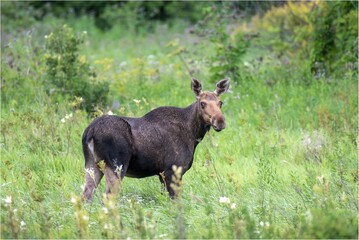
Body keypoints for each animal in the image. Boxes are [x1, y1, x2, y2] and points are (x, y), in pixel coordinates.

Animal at [82, 77, 231, 201]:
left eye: (220, 103)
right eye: (202, 103)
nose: (220, 121)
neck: (194, 136)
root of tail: (90, 132)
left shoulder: (161, 173)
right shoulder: (172, 170)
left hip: (92, 164)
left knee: (86, 195)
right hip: (116, 165)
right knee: (108, 198)